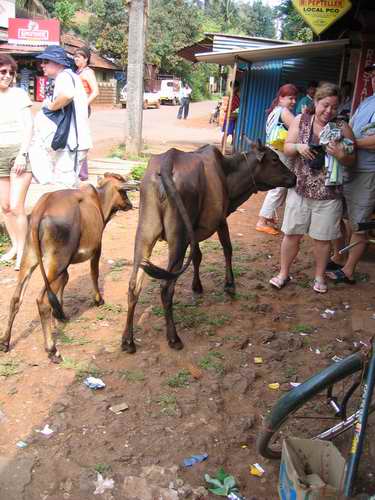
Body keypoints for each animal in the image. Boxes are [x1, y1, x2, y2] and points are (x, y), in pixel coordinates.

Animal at [0, 174, 134, 362]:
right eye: (123, 192)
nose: (130, 204)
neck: (99, 200)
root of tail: (41, 209)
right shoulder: (97, 248)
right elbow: (94, 273)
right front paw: (98, 299)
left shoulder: (66, 265)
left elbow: (64, 283)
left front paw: (60, 315)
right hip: (57, 262)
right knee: (42, 302)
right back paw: (52, 349)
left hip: (31, 257)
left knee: (16, 298)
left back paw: (5, 341)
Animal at [122, 141, 296, 354]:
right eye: (274, 159)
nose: (294, 177)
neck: (229, 174)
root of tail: (167, 160)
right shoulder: (220, 220)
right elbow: (228, 249)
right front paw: (229, 285)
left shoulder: (194, 232)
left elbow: (198, 256)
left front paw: (197, 286)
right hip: (178, 238)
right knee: (166, 287)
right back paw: (174, 338)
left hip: (145, 234)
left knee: (133, 285)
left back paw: (128, 341)